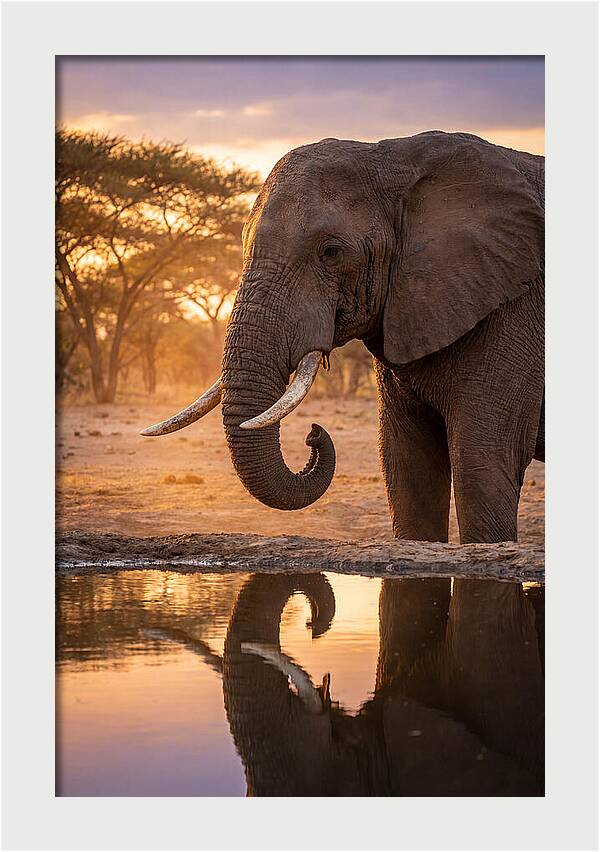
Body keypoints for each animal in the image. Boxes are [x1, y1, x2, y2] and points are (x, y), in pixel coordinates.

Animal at [143, 131, 544, 545]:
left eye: (331, 252)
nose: (314, 433)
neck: (398, 158)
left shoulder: (513, 309)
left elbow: (482, 463)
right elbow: (407, 466)